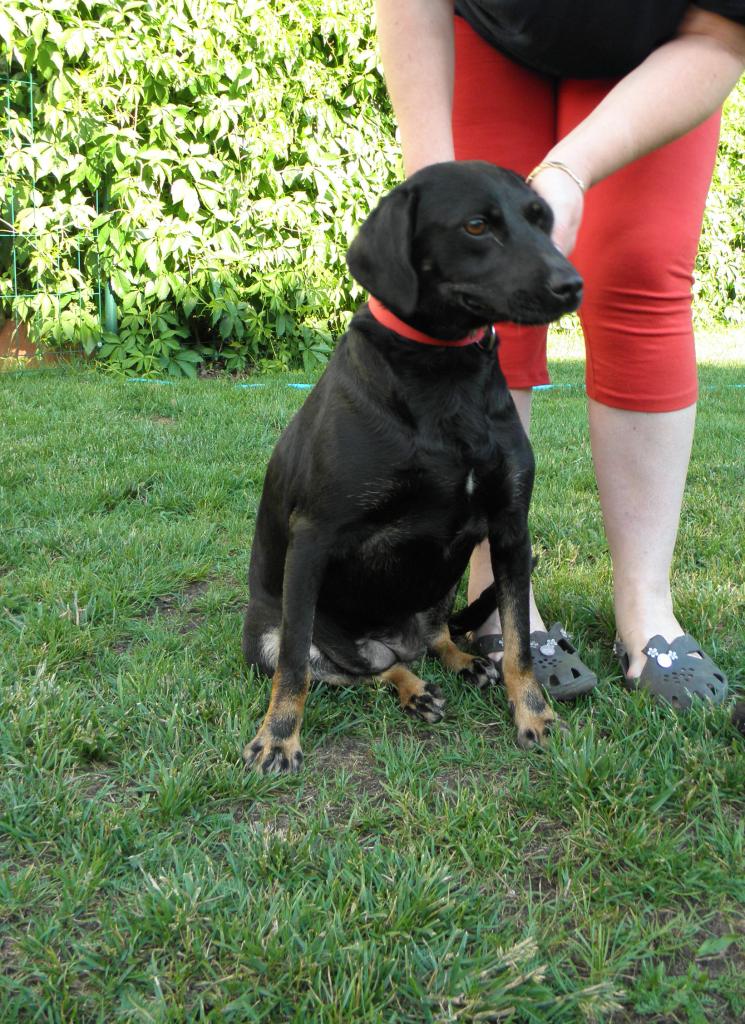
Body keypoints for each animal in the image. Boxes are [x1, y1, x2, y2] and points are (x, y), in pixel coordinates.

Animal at [242, 160, 583, 773]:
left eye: (541, 219)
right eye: (476, 226)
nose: (573, 285)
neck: (444, 374)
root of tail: (388, 640)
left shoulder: (510, 526)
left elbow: (519, 644)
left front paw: (534, 715)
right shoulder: (313, 536)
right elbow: (295, 668)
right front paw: (278, 737)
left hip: (437, 594)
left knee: (434, 637)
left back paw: (460, 662)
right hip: (270, 634)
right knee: (361, 669)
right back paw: (411, 686)